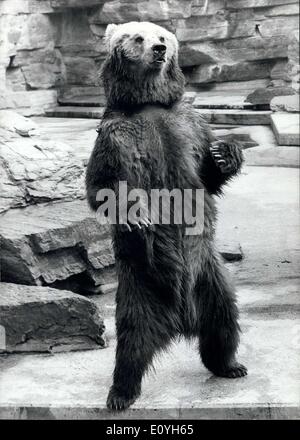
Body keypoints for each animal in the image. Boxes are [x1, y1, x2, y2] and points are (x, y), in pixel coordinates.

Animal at [85, 21, 247, 412]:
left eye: (163, 37)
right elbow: (103, 184)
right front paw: (136, 214)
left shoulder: (188, 127)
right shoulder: (116, 137)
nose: (159, 49)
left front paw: (225, 154)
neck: (148, 103)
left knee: (224, 321)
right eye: (138, 37)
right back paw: (120, 394)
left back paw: (230, 366)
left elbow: (207, 173)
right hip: (140, 285)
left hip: (211, 276)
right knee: (131, 343)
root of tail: (181, 319)